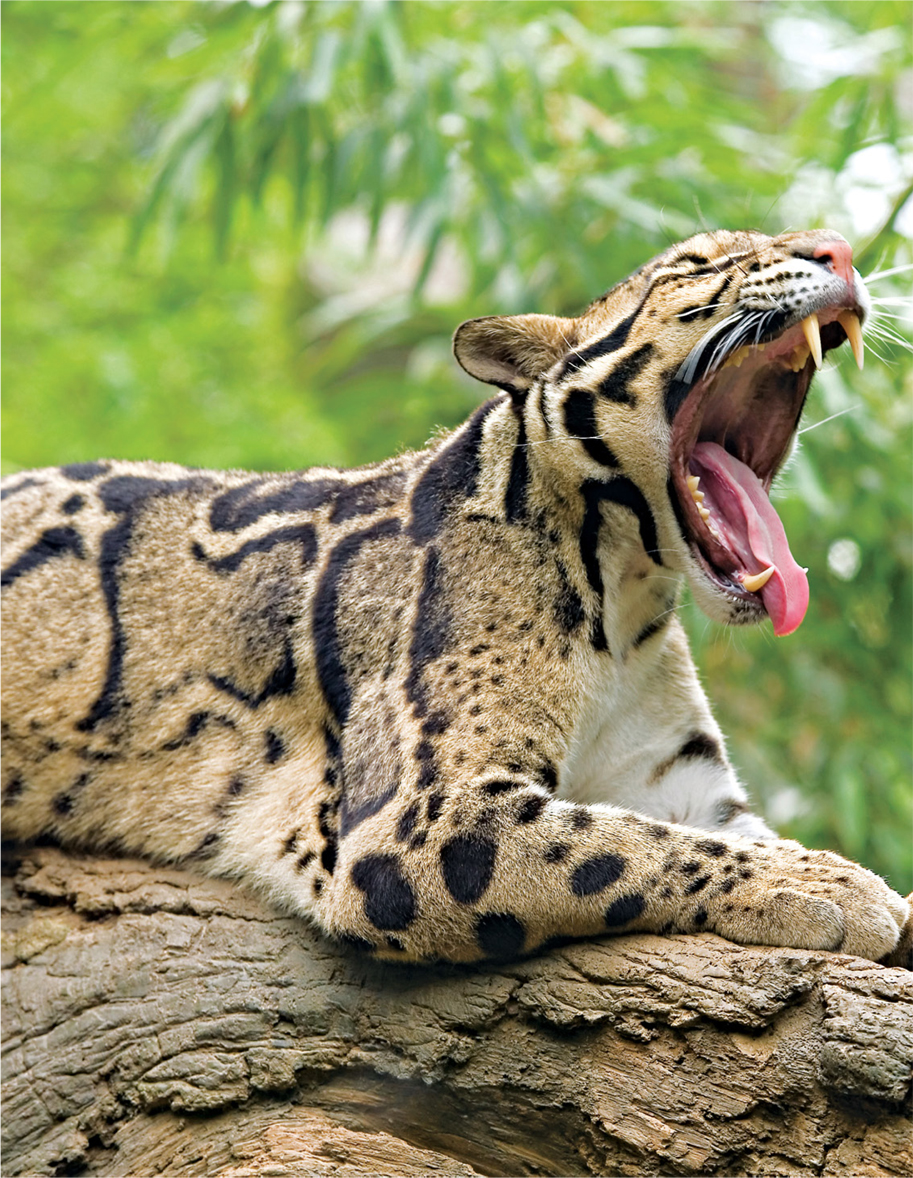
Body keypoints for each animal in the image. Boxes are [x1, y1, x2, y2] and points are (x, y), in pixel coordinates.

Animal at [3, 227, 909, 965]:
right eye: (698, 263)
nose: (839, 250)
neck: (624, 605)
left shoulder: (679, 783)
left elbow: (691, 832)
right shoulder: (416, 820)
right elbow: (619, 844)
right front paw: (832, 888)